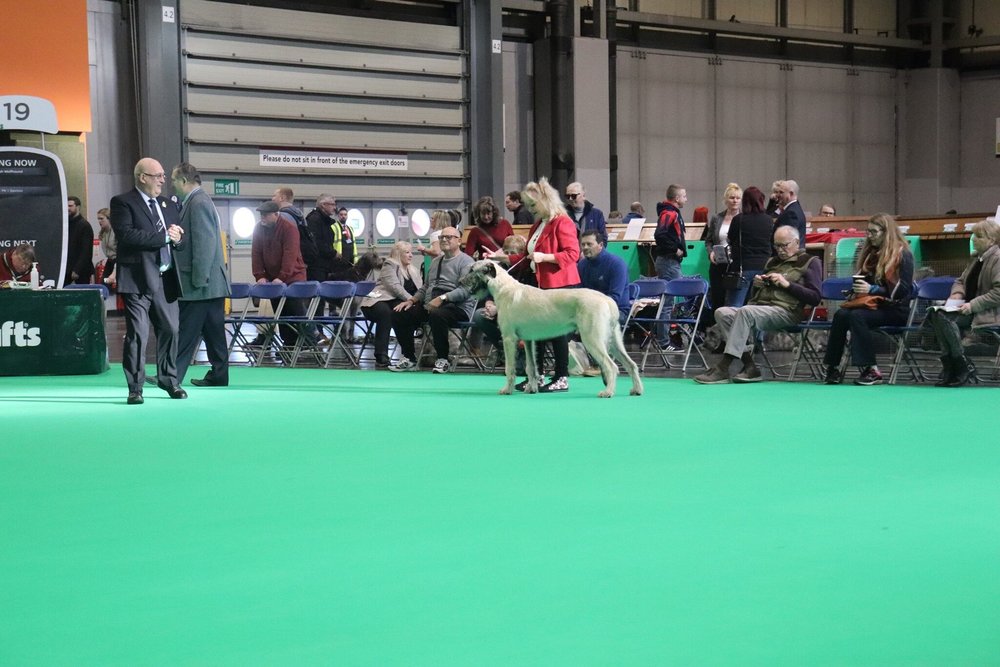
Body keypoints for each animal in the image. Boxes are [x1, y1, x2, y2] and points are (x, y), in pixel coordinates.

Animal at [461, 260, 643, 398]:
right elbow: (531, 366)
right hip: (613, 340)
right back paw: (637, 389)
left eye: (472, 270)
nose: (460, 281)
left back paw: (608, 392)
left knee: (611, 366)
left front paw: (507, 389)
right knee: (631, 364)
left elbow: (510, 367)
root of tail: (608, 300)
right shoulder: (528, 340)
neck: (503, 287)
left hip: (592, 338)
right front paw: (531, 388)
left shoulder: (509, 338)